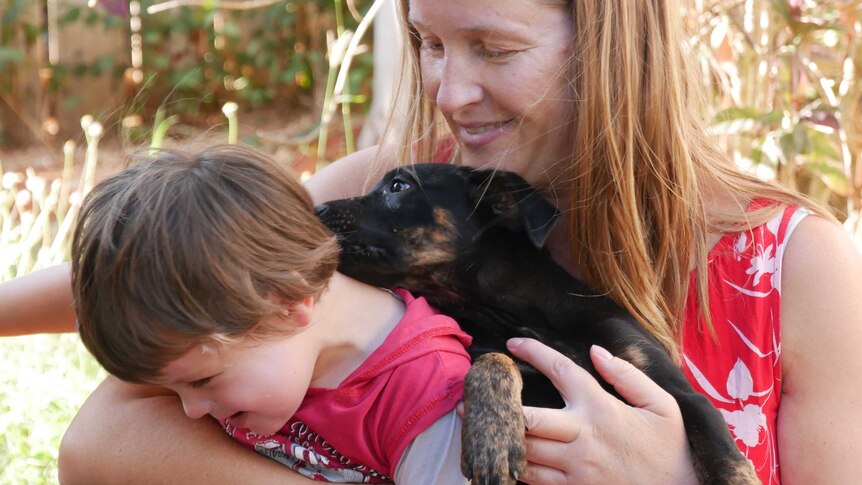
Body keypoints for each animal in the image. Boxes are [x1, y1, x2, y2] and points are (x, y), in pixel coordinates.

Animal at [316, 164, 756, 484]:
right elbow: (493, 360)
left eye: (398, 185)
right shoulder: (501, 355)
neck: (521, 313)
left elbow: (722, 454)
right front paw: (492, 439)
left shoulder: (679, 392)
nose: (316, 208)